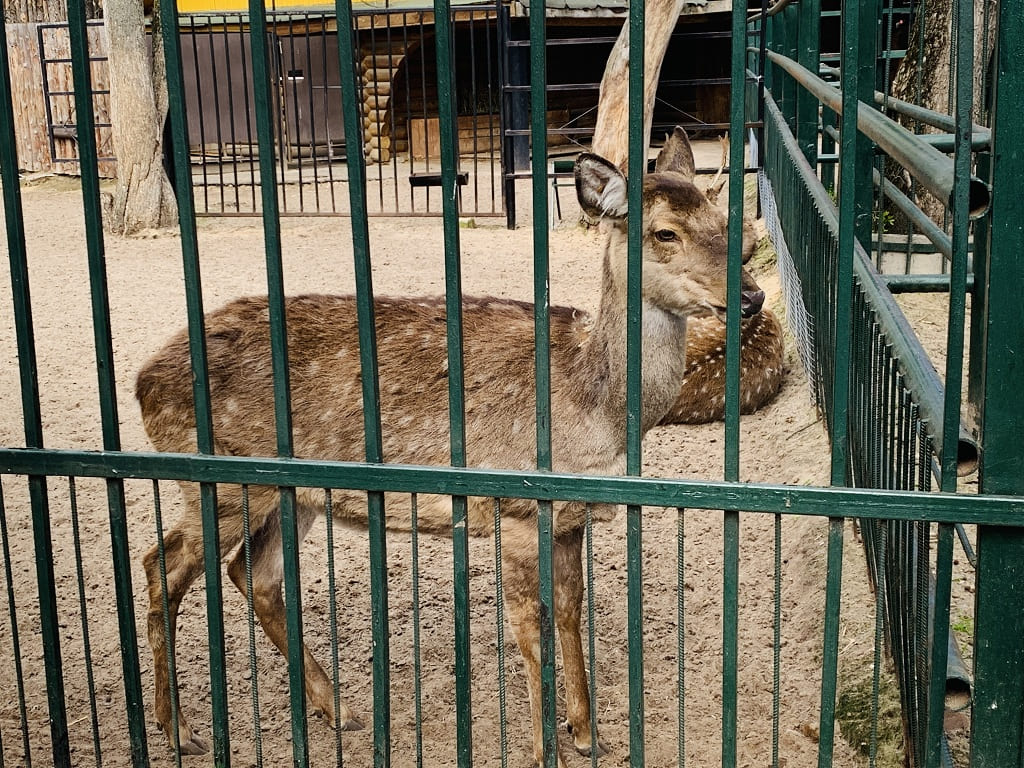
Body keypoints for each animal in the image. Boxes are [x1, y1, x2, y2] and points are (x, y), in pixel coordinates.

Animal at [134, 126, 761, 765]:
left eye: (726, 222)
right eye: (665, 232)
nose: (752, 298)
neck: (595, 411)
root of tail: (143, 381)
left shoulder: (571, 517)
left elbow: (570, 610)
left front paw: (587, 733)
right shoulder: (517, 509)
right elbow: (530, 626)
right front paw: (546, 749)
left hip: (290, 494)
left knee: (252, 575)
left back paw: (339, 710)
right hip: (216, 481)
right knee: (162, 564)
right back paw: (177, 728)